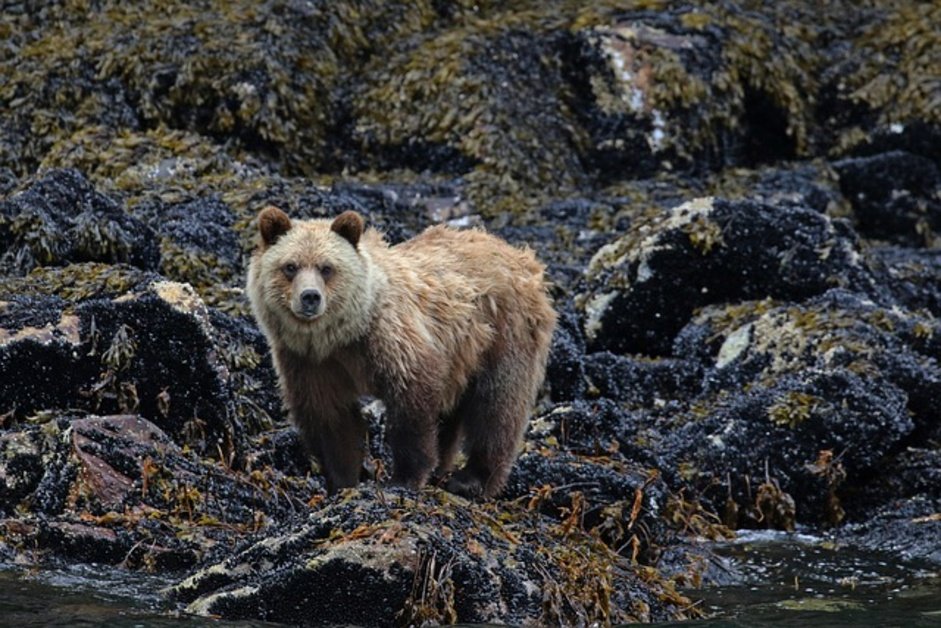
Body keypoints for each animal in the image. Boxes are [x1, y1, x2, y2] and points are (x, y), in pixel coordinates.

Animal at [246, 206, 556, 498]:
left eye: (326, 268)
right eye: (290, 266)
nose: (310, 296)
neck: (341, 335)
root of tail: (523, 258)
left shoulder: (392, 341)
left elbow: (412, 405)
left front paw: (403, 479)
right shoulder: (310, 361)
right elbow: (329, 419)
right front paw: (343, 481)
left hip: (503, 333)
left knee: (497, 404)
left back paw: (472, 479)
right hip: (460, 357)